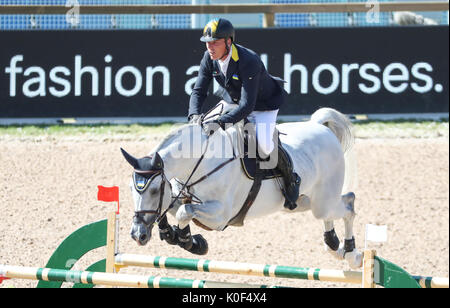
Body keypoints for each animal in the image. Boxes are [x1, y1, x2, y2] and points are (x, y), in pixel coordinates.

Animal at [120, 107, 362, 268]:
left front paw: (189, 241)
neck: (201, 161)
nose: (138, 235)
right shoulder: (181, 197)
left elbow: (183, 212)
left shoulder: (220, 216)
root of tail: (321, 128)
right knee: (332, 211)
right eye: (131, 189)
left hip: (323, 200)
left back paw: (351, 253)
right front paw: (181, 238)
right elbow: (172, 210)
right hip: (304, 202)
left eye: (153, 191)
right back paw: (333, 244)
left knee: (348, 203)